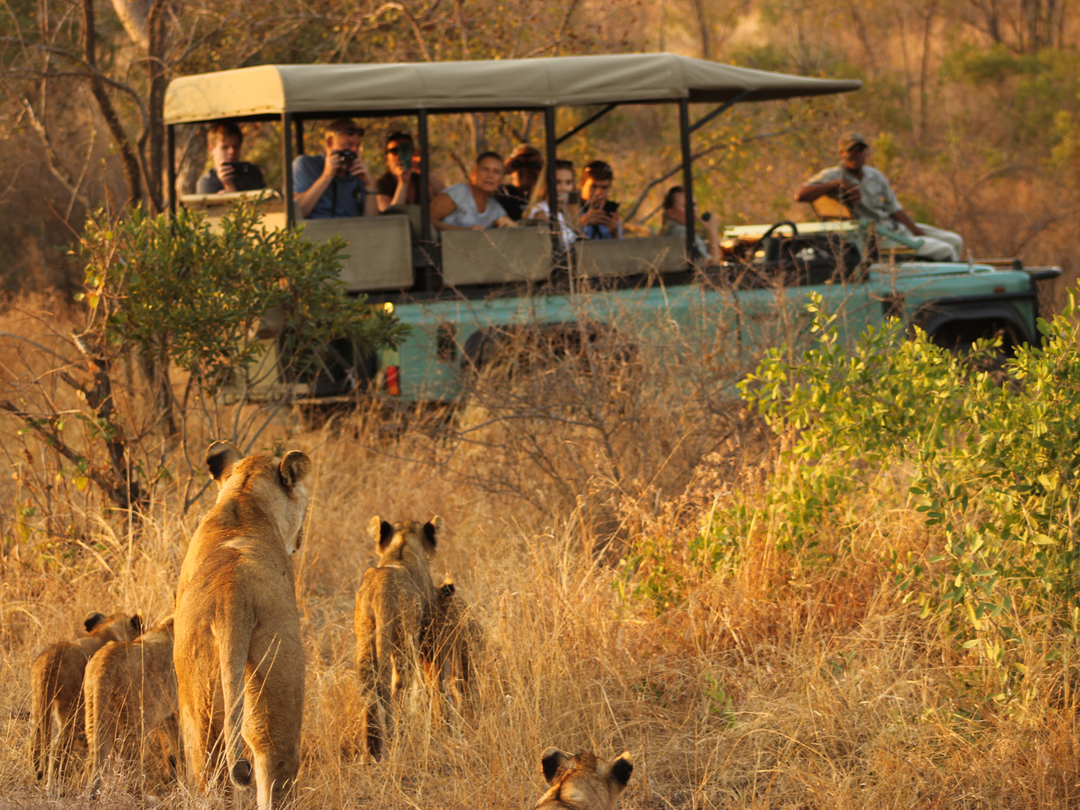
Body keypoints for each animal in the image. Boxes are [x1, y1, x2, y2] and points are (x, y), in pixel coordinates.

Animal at [30, 611, 143, 793]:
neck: (109, 629)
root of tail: (51, 659)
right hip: (72, 709)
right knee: (58, 745)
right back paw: (55, 786)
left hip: (37, 704)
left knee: (34, 743)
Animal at [83, 614, 179, 796]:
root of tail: (105, 662)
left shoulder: (170, 714)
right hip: (138, 719)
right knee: (130, 763)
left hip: (94, 713)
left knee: (96, 759)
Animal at [174, 441, 312, 810]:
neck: (243, 496)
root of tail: (230, 597)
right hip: (280, 670)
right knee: (274, 760)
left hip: (201, 691)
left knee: (210, 772)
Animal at [353, 516, 441, 759]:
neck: (401, 547)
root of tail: (381, 590)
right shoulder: (425, 637)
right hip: (404, 641)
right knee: (398, 689)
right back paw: (399, 739)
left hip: (365, 638)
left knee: (370, 692)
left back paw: (372, 753)